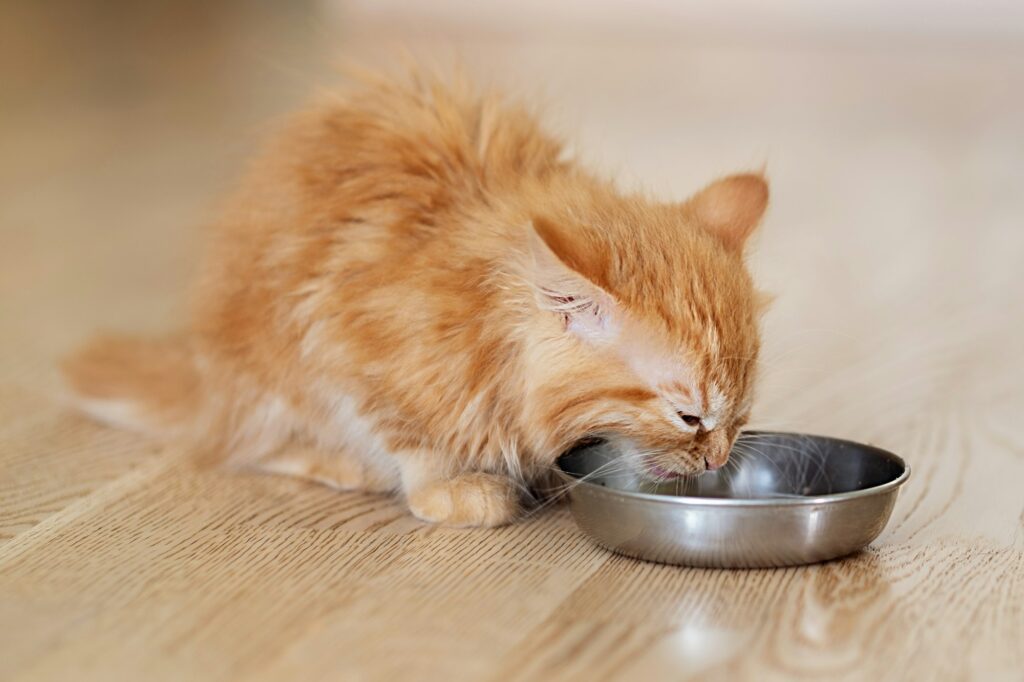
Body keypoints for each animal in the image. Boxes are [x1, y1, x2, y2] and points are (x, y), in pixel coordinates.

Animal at [61, 69, 770, 524]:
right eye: (689, 417)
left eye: (740, 413)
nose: (718, 455)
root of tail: (202, 372)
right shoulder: (346, 341)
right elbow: (413, 442)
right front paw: (455, 489)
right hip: (272, 373)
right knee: (252, 442)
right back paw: (340, 462)